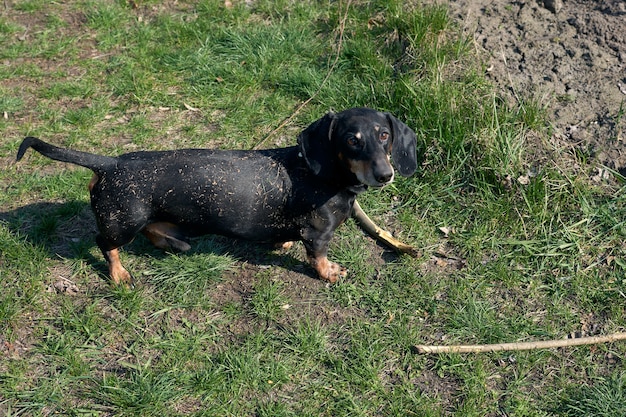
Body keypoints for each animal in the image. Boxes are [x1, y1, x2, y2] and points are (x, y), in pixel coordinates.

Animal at [15, 106, 414, 286]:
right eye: (351, 140)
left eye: (383, 135)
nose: (386, 175)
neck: (322, 173)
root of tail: (110, 163)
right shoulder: (318, 233)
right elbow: (317, 256)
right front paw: (330, 271)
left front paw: (283, 243)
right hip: (122, 221)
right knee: (105, 243)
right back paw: (119, 273)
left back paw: (173, 242)